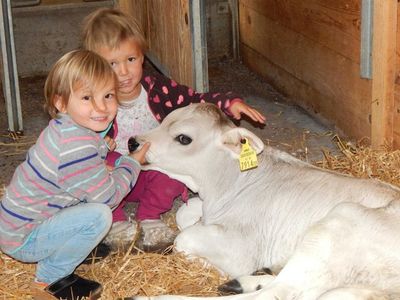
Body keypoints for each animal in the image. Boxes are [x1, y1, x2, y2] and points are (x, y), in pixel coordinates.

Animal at [133, 103, 400, 300]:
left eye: (183, 138)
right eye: (165, 119)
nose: (133, 142)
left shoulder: (242, 249)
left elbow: (183, 238)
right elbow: (184, 216)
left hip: (337, 224)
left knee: (277, 293)